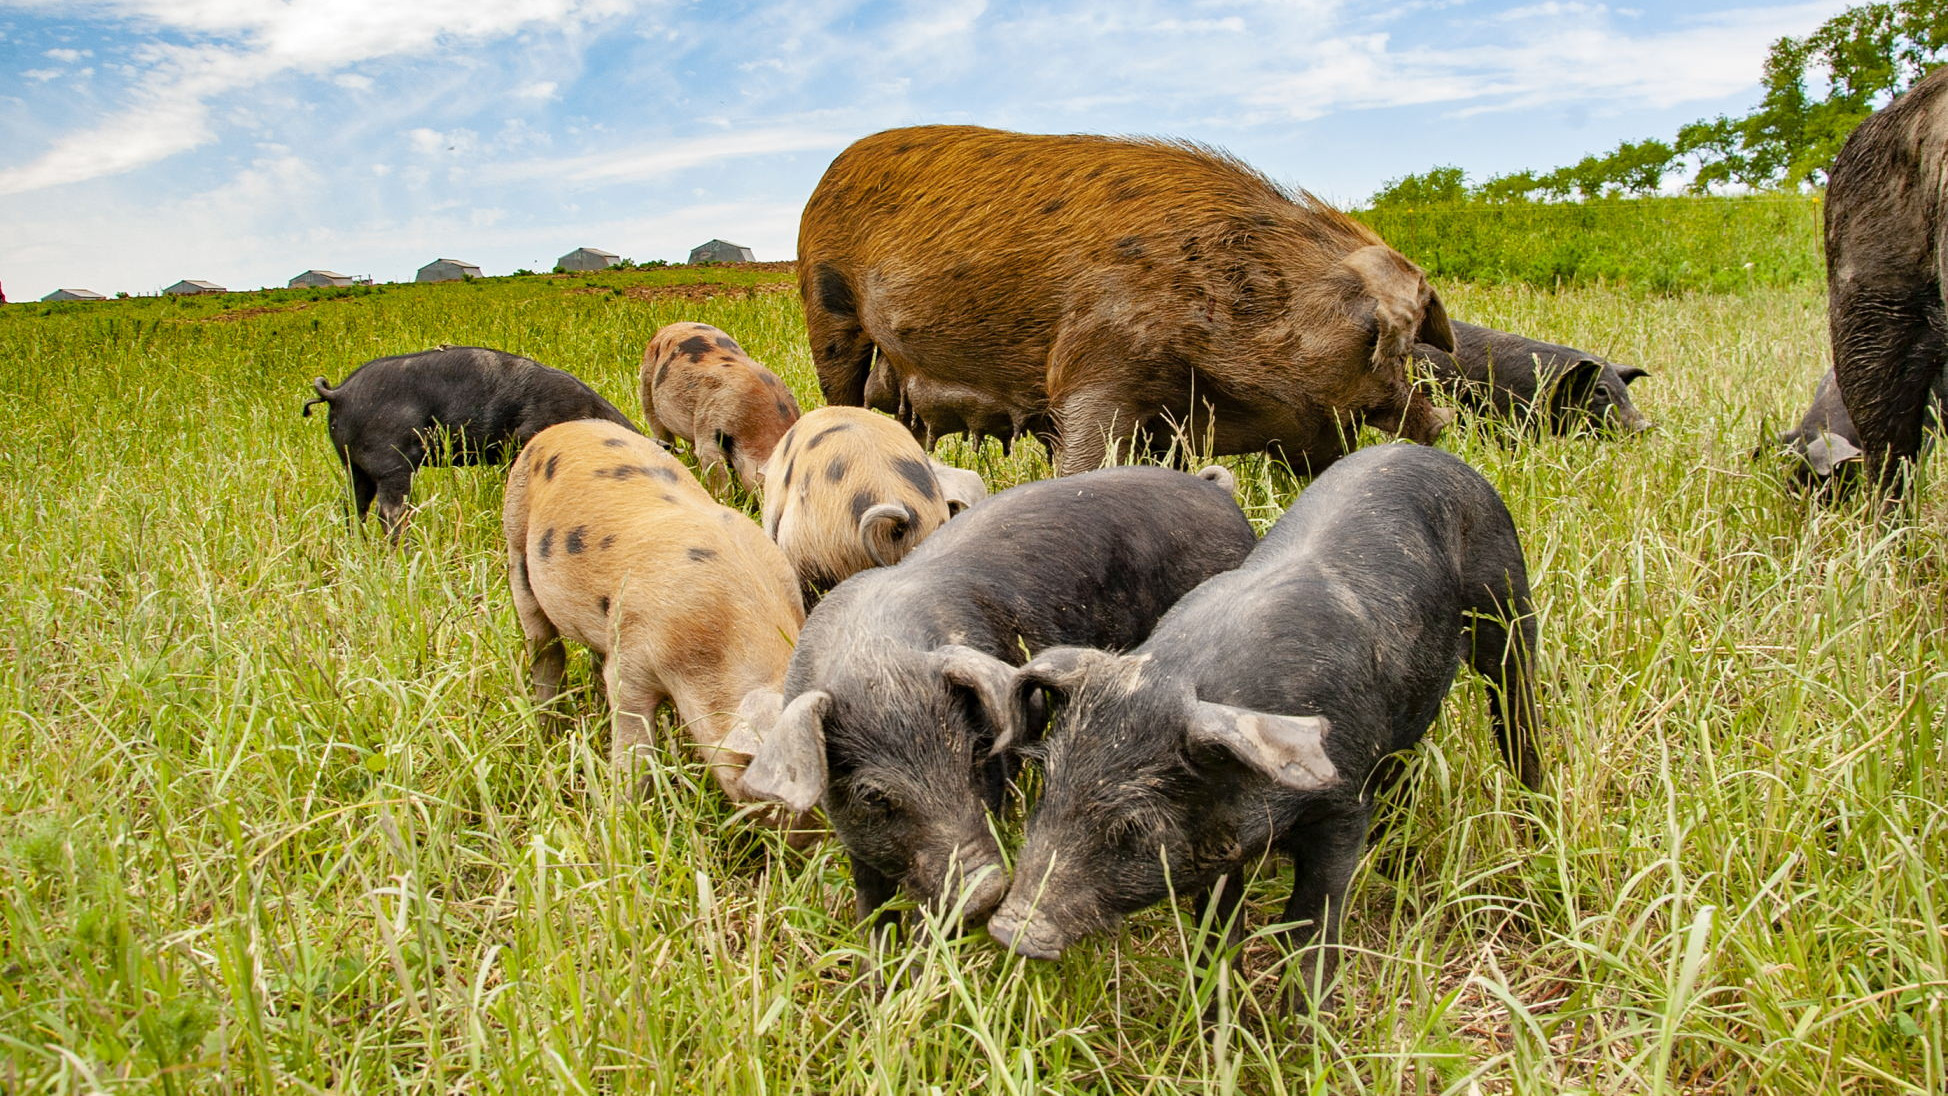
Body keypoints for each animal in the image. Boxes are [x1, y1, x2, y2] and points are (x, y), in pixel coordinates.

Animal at [732, 467, 1262, 938]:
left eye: (973, 755)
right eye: (873, 795)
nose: (985, 891)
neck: (875, 653)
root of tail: (1220, 495)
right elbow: (871, 907)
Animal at [989, 445, 1535, 1012]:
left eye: (1136, 825)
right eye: (1049, 789)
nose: (1011, 930)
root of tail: (1424, 451)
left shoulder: (1344, 807)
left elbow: (1312, 925)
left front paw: (1306, 1022)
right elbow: (1218, 935)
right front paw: (1217, 1020)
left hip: (1507, 599)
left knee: (1516, 700)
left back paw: (1532, 817)